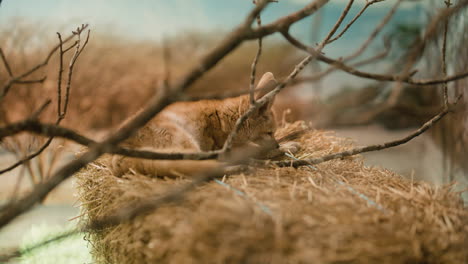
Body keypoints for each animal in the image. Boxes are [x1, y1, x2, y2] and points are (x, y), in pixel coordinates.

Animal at [112, 72, 296, 177]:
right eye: (269, 133)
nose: (277, 143)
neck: (226, 119)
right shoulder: (224, 148)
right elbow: (260, 149)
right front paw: (285, 147)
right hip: (184, 140)